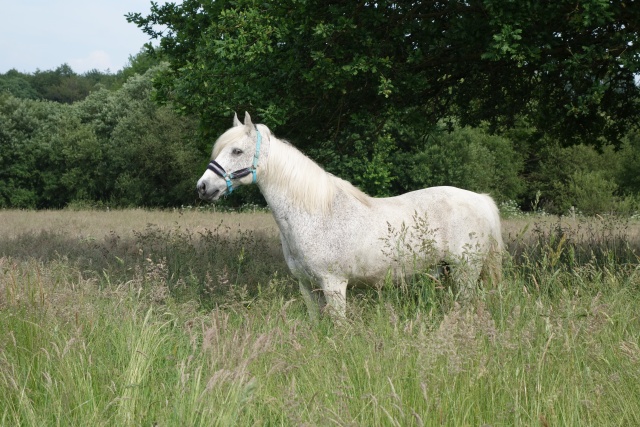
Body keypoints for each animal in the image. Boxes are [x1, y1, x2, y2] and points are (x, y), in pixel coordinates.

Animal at [198, 112, 502, 320]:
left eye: (237, 150)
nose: (203, 187)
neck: (316, 215)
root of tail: (481, 200)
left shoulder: (334, 285)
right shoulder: (307, 287)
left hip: (465, 272)